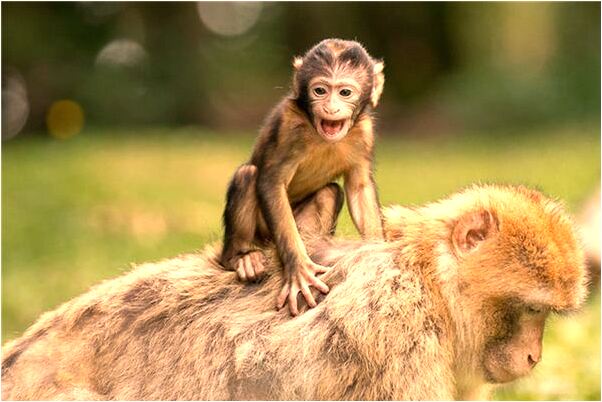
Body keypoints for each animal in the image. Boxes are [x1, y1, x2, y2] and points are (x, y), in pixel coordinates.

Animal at [220, 37, 384, 314]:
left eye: (344, 93)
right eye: (320, 91)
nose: (330, 108)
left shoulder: (365, 132)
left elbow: (359, 188)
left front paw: (377, 254)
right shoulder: (289, 126)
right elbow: (271, 182)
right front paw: (298, 269)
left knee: (330, 192)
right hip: (262, 234)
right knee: (248, 175)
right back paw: (240, 258)